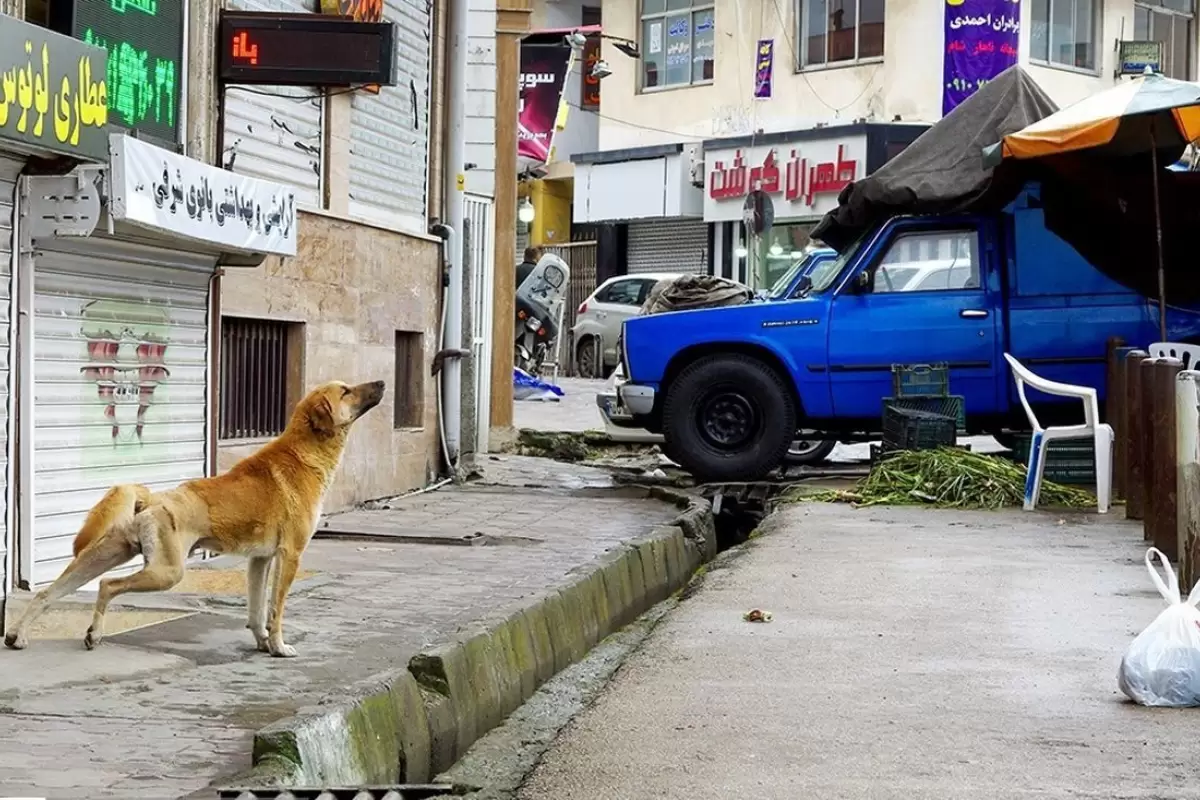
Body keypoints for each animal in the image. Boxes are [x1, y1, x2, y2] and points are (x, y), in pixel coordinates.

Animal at [1, 381, 384, 657]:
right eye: (346, 391)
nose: (380, 382)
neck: (305, 450)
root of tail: (151, 498)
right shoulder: (289, 555)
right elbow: (276, 609)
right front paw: (278, 647)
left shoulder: (259, 560)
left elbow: (257, 609)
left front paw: (262, 643)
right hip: (167, 571)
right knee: (108, 585)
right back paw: (93, 634)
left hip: (104, 554)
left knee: (48, 592)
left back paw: (17, 635)